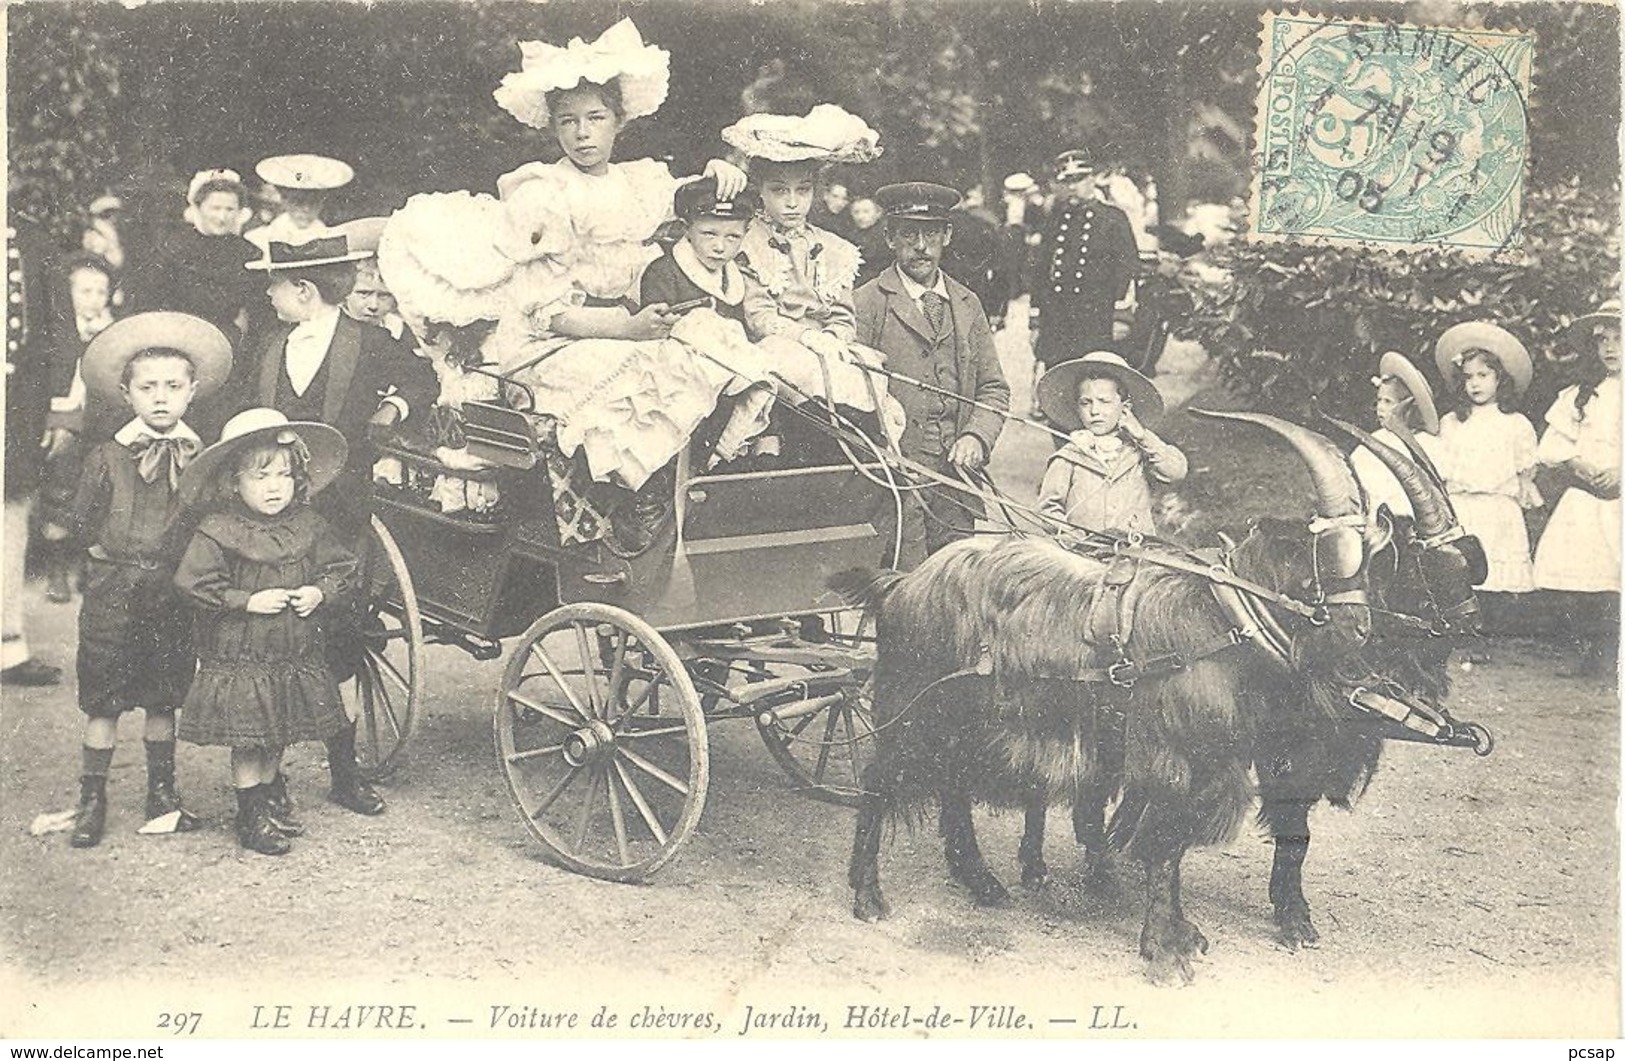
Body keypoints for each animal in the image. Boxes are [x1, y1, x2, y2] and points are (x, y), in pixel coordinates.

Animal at [838, 414, 1384, 987]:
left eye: (1368, 565)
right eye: (1319, 564)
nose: (1359, 631)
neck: (1219, 621)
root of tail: (901, 585)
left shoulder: (1205, 766)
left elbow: (1173, 847)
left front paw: (1182, 934)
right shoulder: (1172, 761)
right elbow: (1163, 849)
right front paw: (1165, 953)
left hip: (962, 720)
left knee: (952, 786)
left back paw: (982, 882)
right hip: (912, 705)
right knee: (878, 781)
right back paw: (868, 895)